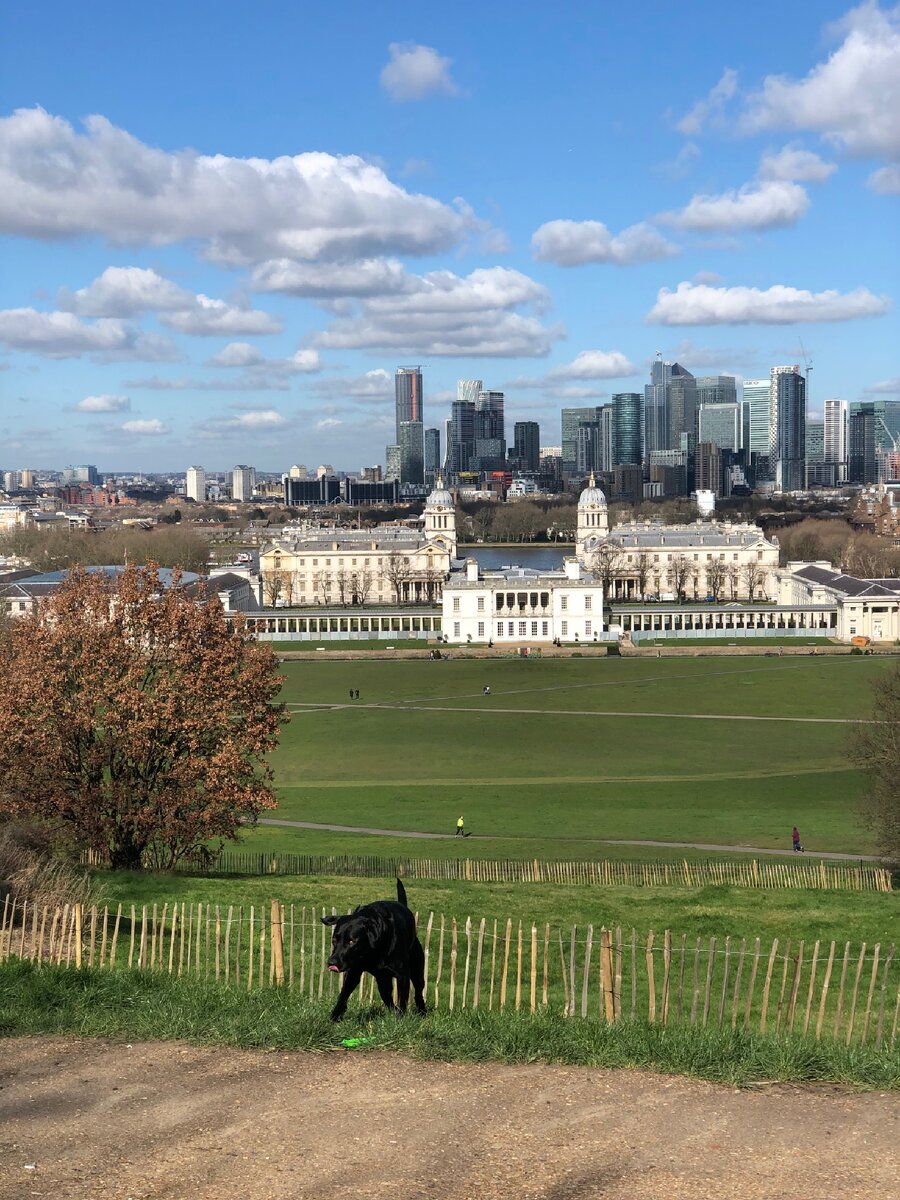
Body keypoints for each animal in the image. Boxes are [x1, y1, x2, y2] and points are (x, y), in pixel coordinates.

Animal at [321, 878, 427, 1017]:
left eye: (351, 941)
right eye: (334, 940)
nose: (332, 962)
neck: (372, 952)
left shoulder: (402, 974)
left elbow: (402, 999)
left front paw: (400, 1018)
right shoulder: (354, 971)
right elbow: (344, 994)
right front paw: (335, 1016)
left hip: (416, 971)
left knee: (418, 993)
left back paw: (422, 1012)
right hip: (382, 979)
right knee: (387, 998)